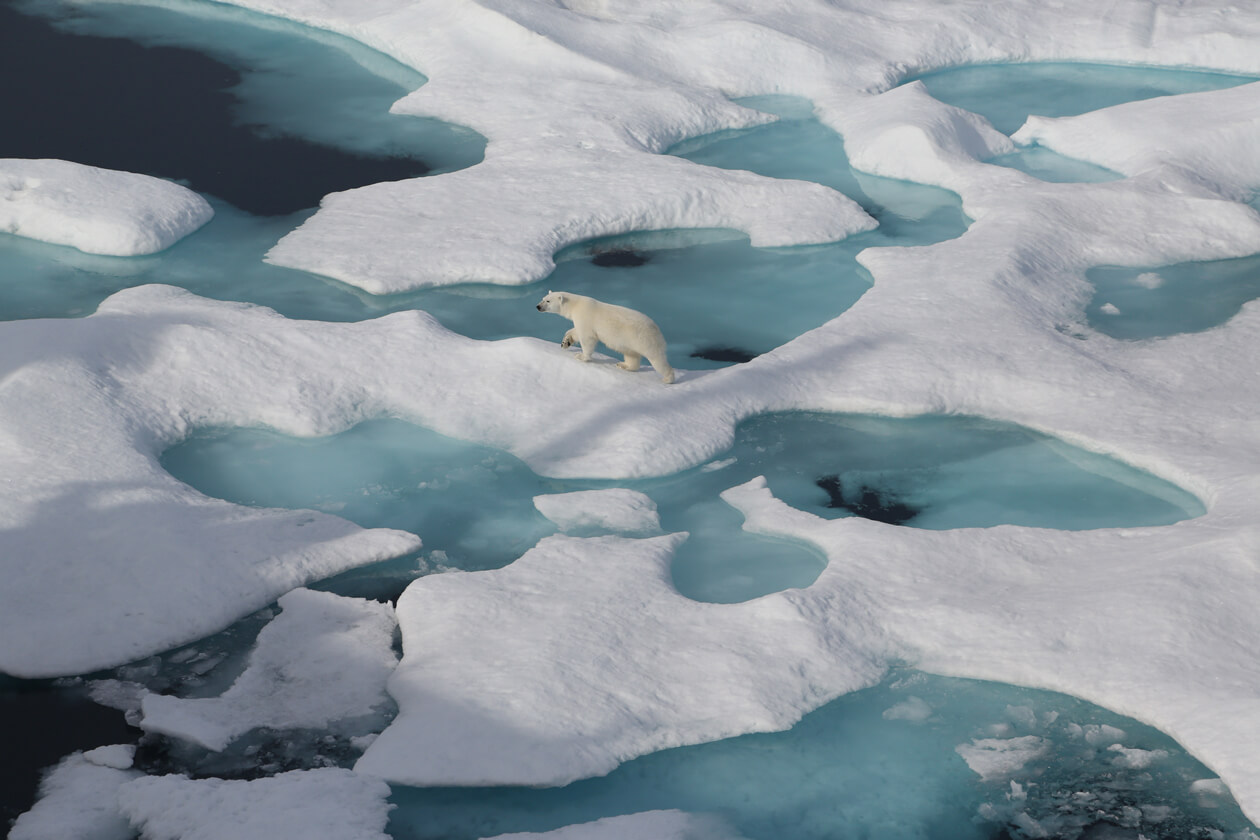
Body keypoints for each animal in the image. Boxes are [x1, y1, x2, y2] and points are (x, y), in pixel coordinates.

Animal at [536, 290, 675, 385]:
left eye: (548, 301)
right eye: (543, 298)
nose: (538, 306)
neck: (575, 304)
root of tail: (657, 330)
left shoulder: (585, 317)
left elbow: (587, 338)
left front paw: (581, 356)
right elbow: (575, 331)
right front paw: (565, 342)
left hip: (645, 339)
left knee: (657, 359)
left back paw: (668, 378)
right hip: (630, 341)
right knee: (631, 355)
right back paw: (623, 365)